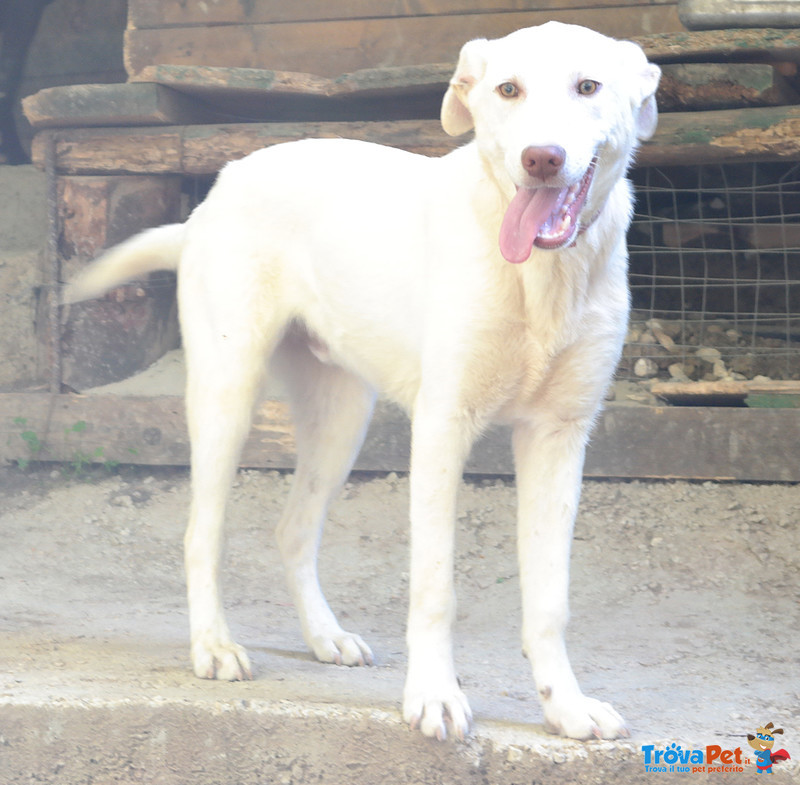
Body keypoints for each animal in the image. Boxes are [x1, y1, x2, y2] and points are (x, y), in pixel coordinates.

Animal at [67, 19, 656, 740]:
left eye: (588, 86)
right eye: (508, 90)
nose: (541, 158)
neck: (541, 277)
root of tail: (219, 187)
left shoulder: (560, 437)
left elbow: (550, 598)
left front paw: (565, 704)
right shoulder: (442, 426)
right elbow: (434, 585)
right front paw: (434, 695)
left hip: (343, 418)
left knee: (293, 530)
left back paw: (325, 635)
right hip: (226, 394)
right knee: (201, 533)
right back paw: (214, 644)